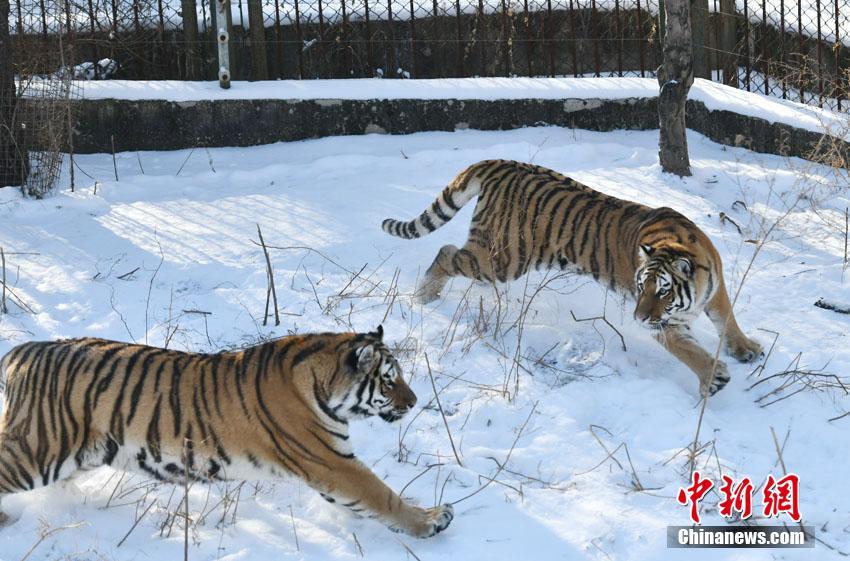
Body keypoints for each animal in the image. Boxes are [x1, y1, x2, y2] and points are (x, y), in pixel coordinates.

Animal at [0, 328, 454, 540]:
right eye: (390, 381)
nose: (415, 401)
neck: (323, 386)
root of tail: (24, 350)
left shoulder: (329, 465)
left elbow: (366, 503)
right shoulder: (331, 461)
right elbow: (382, 495)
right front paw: (430, 521)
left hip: (77, 455)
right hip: (36, 449)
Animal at [380, 158, 760, 394]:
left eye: (663, 291)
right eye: (641, 288)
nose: (638, 318)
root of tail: (501, 163)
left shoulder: (715, 290)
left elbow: (727, 320)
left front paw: (745, 349)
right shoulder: (666, 326)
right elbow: (689, 352)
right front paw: (714, 377)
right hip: (500, 260)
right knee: (447, 253)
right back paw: (425, 295)